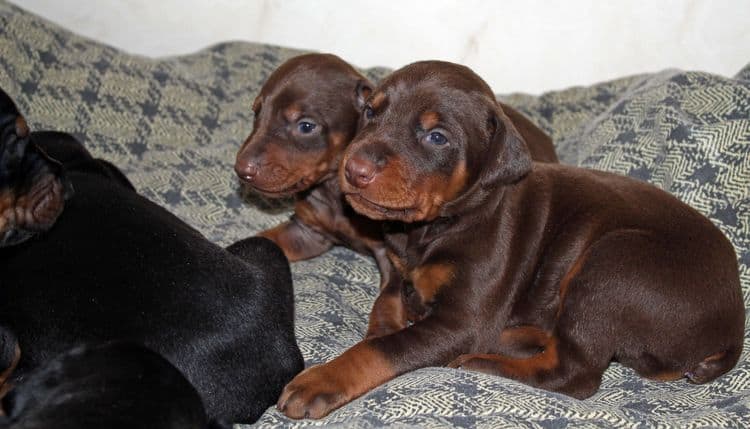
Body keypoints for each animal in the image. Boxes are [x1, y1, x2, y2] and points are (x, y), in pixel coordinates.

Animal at [234, 51, 560, 292]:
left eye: (305, 126)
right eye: (256, 113)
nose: (241, 170)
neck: (331, 194)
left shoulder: (388, 258)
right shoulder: (308, 232)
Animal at [276, 60, 748, 418]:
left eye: (436, 137)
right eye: (371, 113)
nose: (353, 169)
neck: (434, 227)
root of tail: (733, 324)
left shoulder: (460, 322)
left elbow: (385, 349)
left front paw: (321, 379)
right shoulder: (396, 269)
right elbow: (386, 306)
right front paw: (385, 323)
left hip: (612, 265)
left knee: (575, 374)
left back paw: (482, 360)